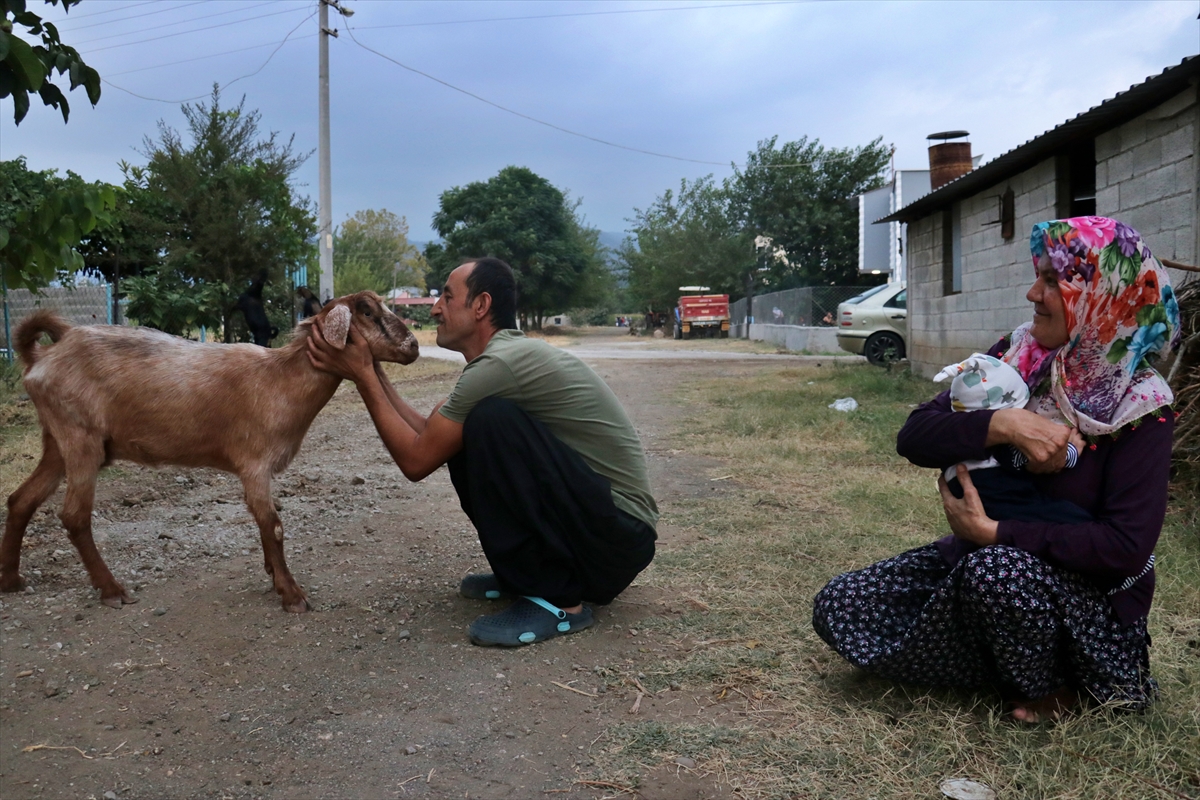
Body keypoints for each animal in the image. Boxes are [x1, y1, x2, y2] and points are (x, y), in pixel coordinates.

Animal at [2, 293, 420, 614]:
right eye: (367, 311)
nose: (414, 346)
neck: (281, 380)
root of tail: (40, 360)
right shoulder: (255, 463)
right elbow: (274, 525)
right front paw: (292, 595)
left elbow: (265, 523)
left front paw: (273, 576)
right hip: (80, 438)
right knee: (74, 515)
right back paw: (111, 590)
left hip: (57, 440)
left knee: (21, 500)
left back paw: (11, 579)